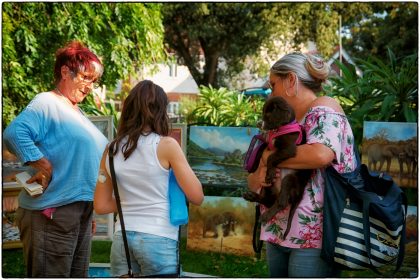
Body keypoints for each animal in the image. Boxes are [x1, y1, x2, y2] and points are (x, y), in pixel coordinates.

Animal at [243, 97, 312, 238]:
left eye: (268, 115)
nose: (259, 123)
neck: (279, 129)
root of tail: (299, 195)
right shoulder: (268, 146)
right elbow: (260, 151)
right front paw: (255, 165)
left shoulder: (288, 149)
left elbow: (270, 157)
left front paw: (270, 172)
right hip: (268, 187)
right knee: (269, 200)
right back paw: (251, 196)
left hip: (289, 179)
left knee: (281, 202)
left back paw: (265, 216)